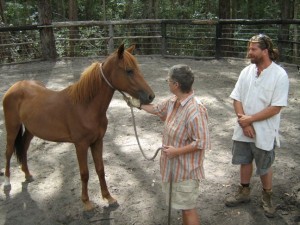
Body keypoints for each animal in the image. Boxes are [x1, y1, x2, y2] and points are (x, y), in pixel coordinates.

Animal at [2, 44, 155, 211]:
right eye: (129, 70)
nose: (151, 96)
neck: (86, 107)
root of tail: (16, 86)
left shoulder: (97, 142)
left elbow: (100, 169)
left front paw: (108, 197)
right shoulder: (81, 145)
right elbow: (84, 173)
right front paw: (86, 202)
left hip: (31, 130)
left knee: (23, 148)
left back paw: (28, 175)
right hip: (12, 127)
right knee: (8, 152)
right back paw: (7, 182)